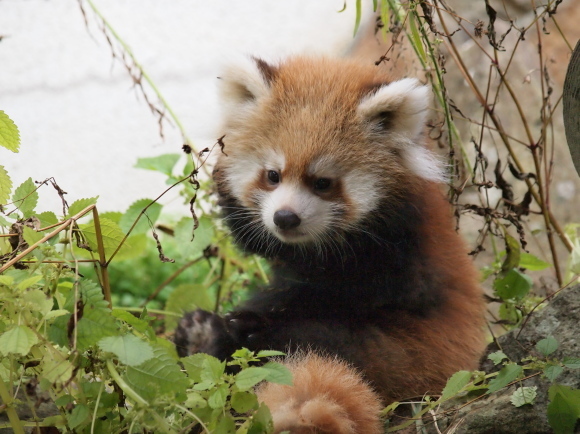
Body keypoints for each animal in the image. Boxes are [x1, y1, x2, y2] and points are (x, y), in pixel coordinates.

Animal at [174, 56, 488, 432]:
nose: (285, 217)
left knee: (325, 341)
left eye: (322, 182)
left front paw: (248, 324)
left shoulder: (394, 260)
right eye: (273, 175)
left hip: (409, 353)